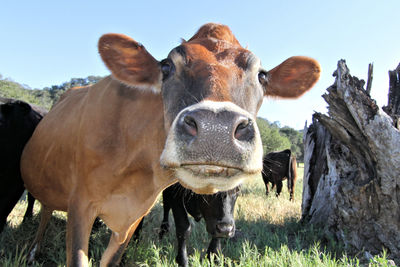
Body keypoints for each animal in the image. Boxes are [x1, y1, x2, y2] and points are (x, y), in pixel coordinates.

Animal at [21, 24, 320, 266]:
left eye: (262, 75)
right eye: (166, 66)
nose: (216, 130)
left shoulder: (132, 219)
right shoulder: (80, 207)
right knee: (44, 211)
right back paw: (33, 251)